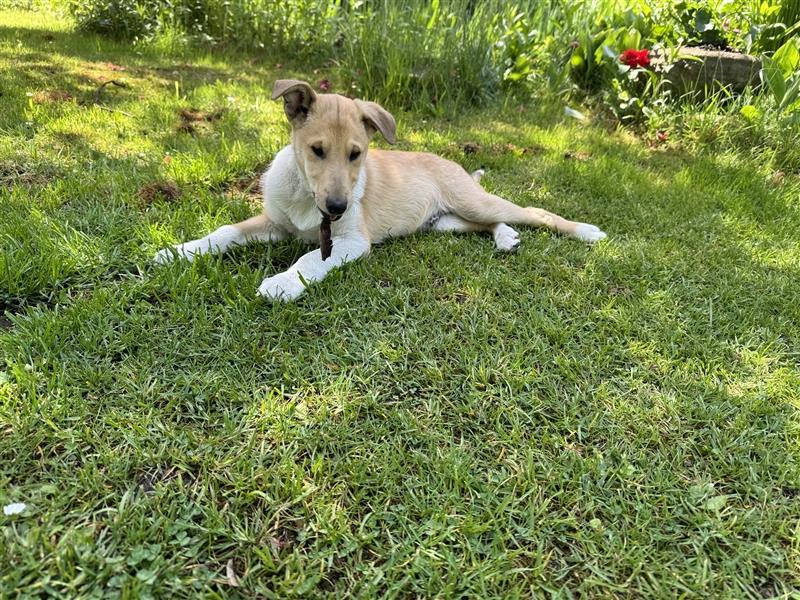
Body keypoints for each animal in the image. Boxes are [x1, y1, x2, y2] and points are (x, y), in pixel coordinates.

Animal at [156, 81, 608, 300]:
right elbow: (224, 232)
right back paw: (506, 238)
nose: (337, 207)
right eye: (316, 150)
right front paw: (178, 251)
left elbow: (309, 258)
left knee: (534, 212)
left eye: (356, 154)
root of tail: (453, 165)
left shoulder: (353, 241)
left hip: (473, 200)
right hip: (445, 223)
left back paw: (585, 231)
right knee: (486, 225)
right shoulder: (274, 221)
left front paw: (283, 283)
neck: (306, 196)